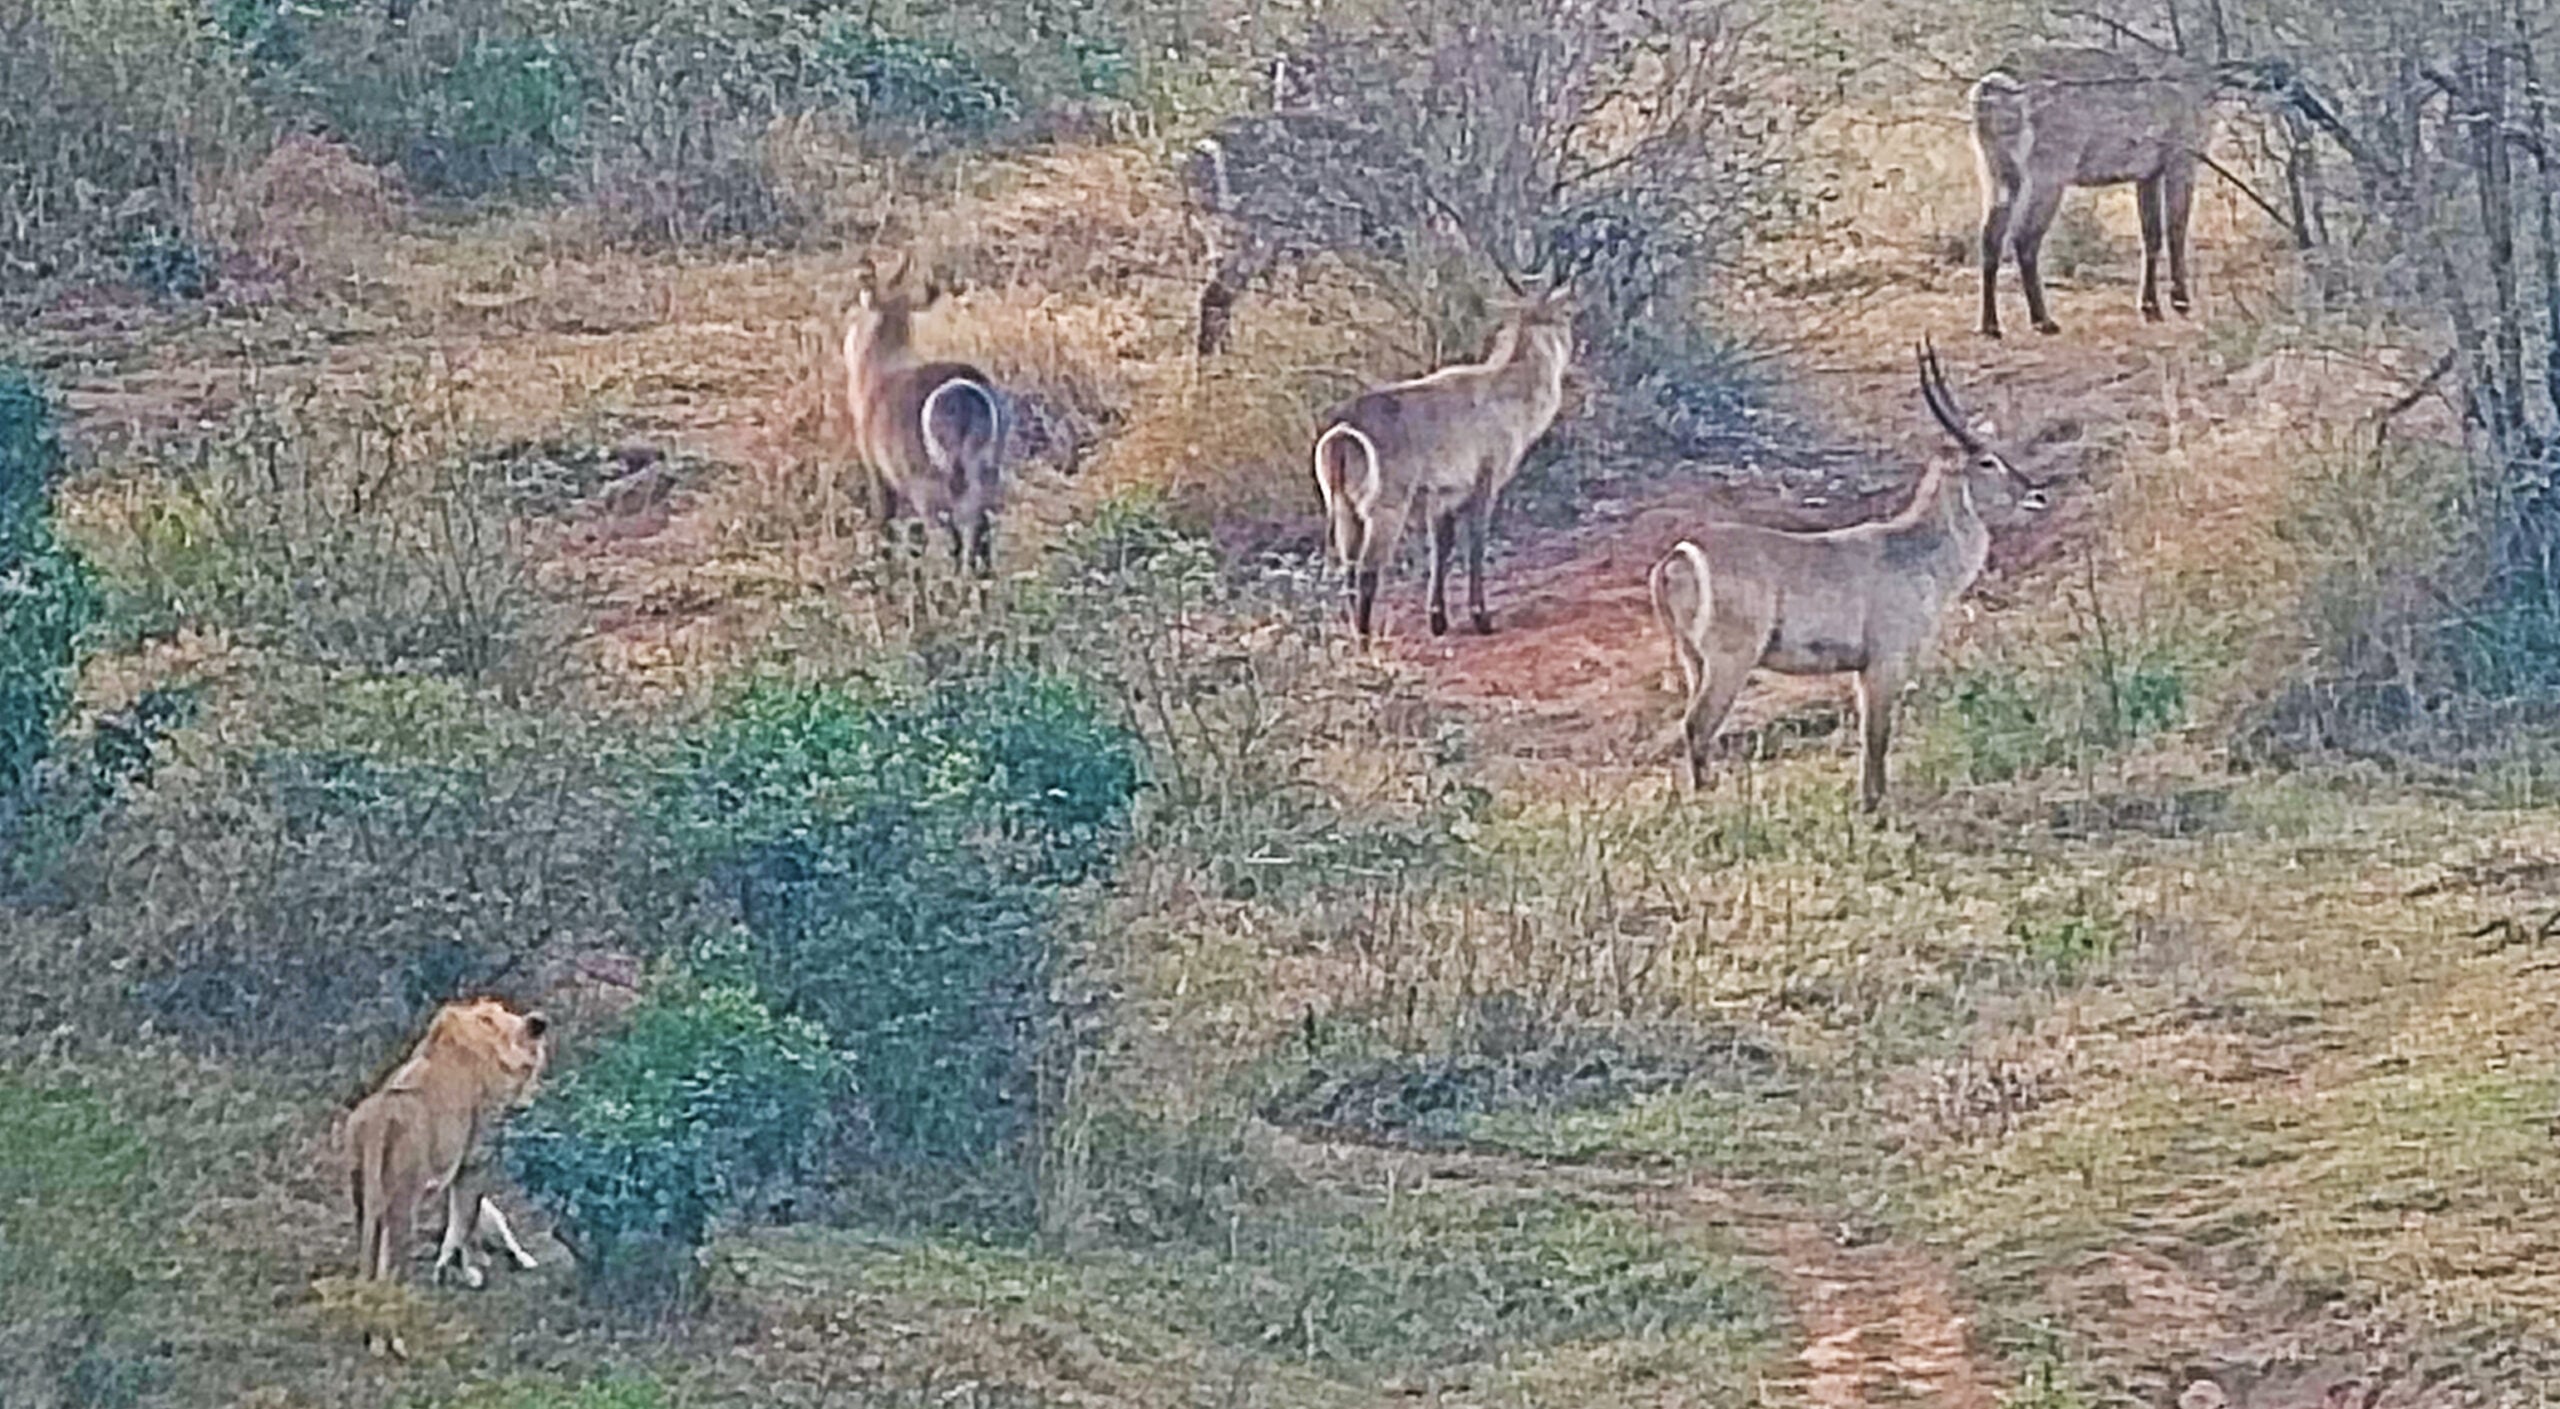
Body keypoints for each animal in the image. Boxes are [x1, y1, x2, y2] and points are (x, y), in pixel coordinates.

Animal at [346, 996, 551, 1289]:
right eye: (536, 1067)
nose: (531, 1099)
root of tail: (379, 1122)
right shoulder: (475, 1159)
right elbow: (465, 1218)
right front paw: (467, 1271)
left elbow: (461, 1219)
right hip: (403, 1195)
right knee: (394, 1257)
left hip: (361, 1188)